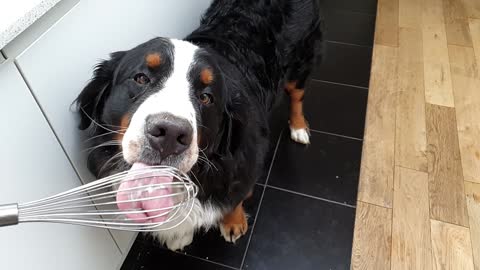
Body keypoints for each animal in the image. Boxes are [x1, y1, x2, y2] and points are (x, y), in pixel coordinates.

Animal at [75, 0, 322, 251]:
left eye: (206, 97)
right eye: (141, 78)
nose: (170, 133)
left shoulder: (246, 167)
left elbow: (236, 199)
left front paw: (233, 222)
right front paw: (179, 236)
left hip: (301, 62)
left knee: (297, 95)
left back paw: (299, 128)